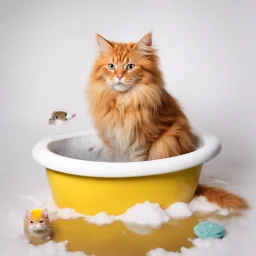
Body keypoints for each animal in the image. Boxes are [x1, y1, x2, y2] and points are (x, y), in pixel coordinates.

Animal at [88, 33, 248, 211]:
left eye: (130, 66)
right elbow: (115, 162)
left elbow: (136, 162)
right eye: (111, 66)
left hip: (167, 141)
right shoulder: (112, 141)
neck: (124, 102)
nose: (119, 76)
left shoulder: (143, 142)